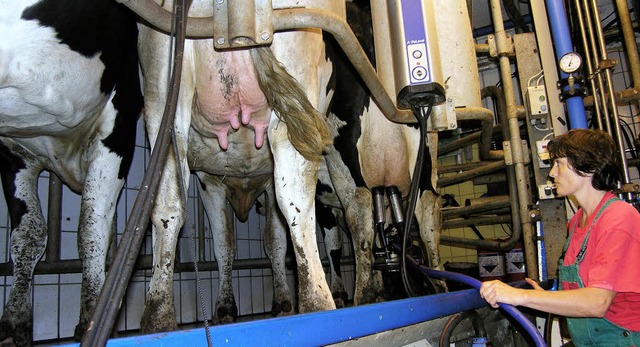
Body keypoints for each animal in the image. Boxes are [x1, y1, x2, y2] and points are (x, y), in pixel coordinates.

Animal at [0, 0, 142, 346]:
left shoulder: (119, 123)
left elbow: (91, 228)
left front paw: (93, 316)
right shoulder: (13, 154)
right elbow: (30, 235)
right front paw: (14, 321)